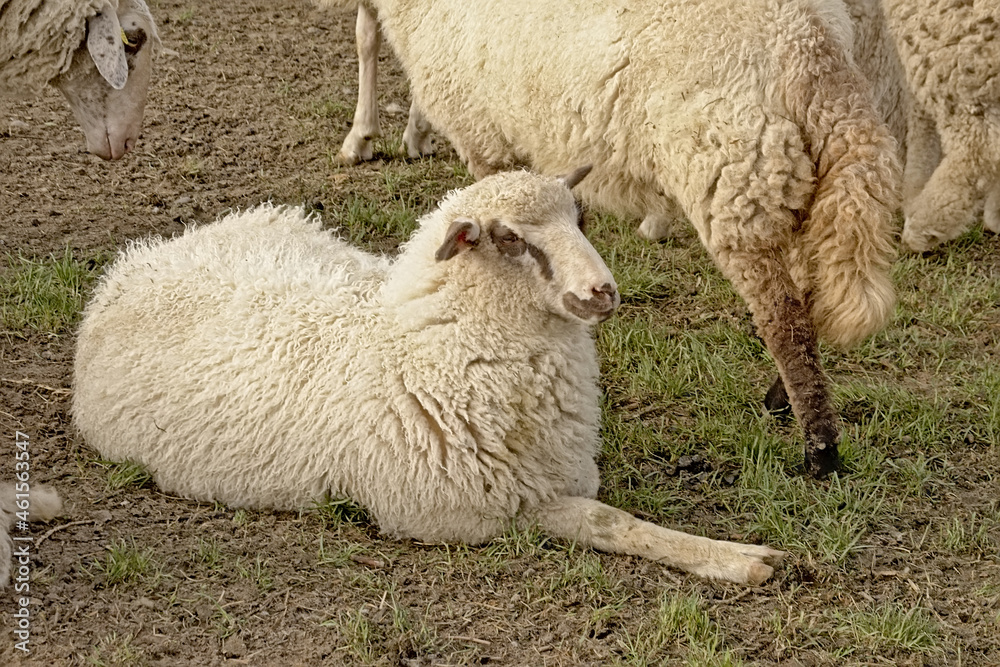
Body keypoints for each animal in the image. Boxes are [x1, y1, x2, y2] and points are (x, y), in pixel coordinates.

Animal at [72, 169, 785, 585]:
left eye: (579, 218)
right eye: (507, 237)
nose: (602, 292)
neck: (414, 346)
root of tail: (144, 257)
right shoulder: (473, 515)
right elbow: (611, 521)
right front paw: (739, 560)